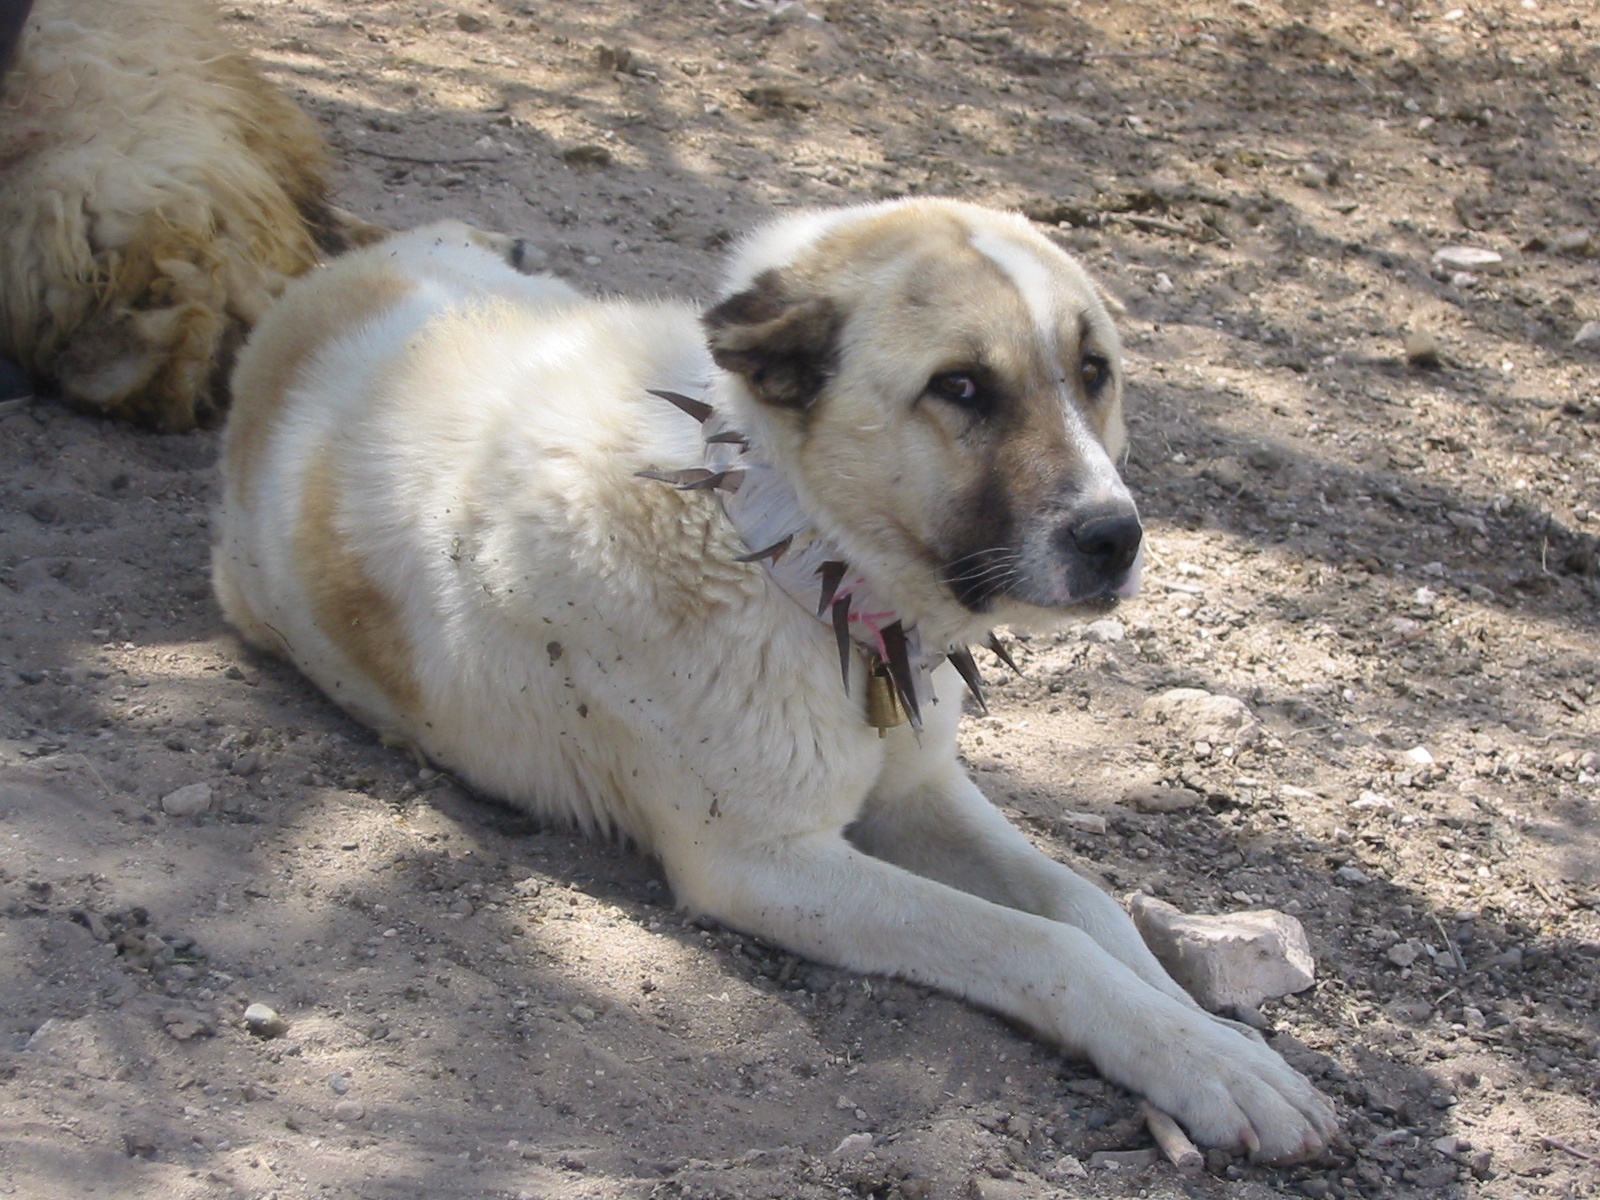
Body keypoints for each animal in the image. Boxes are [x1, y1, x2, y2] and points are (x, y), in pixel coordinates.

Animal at [212, 206, 1337, 1164]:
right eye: (960, 388)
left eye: (1094, 372)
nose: (1114, 539)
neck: (779, 544)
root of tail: (315, 295)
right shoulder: (766, 865)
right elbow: (1042, 942)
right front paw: (1198, 1058)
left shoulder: (920, 789)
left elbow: (1084, 903)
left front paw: (1207, 1037)